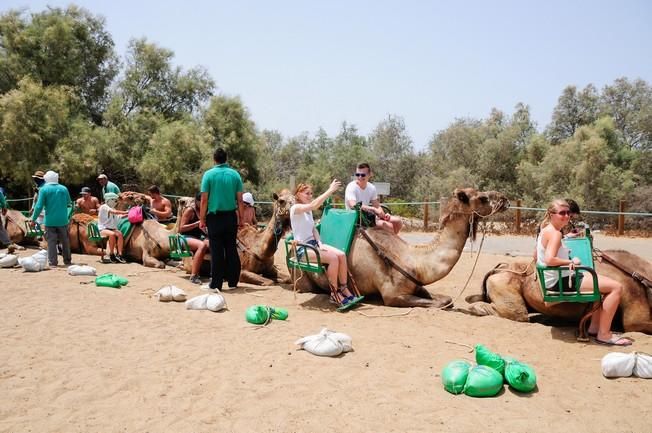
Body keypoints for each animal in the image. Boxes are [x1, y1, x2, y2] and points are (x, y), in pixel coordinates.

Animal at [292, 186, 512, 308]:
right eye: (482, 197)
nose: (505, 199)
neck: (414, 259)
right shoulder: (393, 295)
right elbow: (440, 303)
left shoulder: (417, 285)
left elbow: (446, 299)